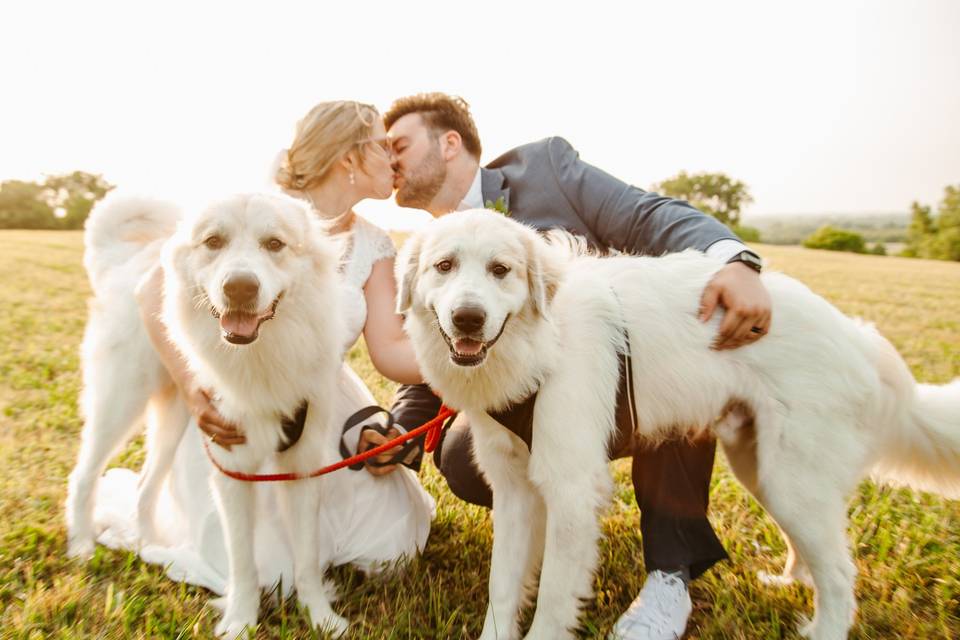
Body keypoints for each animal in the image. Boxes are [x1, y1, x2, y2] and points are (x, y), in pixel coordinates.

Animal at [68, 192, 352, 636]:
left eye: (274, 244)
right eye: (214, 242)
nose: (239, 287)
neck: (260, 356)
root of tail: (122, 262)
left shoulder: (301, 468)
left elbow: (307, 559)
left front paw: (321, 617)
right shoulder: (232, 470)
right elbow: (243, 562)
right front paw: (240, 621)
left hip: (171, 421)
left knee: (145, 486)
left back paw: (149, 545)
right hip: (119, 404)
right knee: (84, 476)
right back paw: (82, 544)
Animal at [398, 210, 960, 640]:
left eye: (501, 270)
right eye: (444, 266)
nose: (468, 318)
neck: (541, 345)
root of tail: (858, 336)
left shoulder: (571, 492)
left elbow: (554, 597)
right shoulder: (515, 492)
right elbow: (504, 587)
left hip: (790, 478)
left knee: (841, 573)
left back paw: (822, 628)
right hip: (764, 470)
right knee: (813, 551)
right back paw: (790, 583)